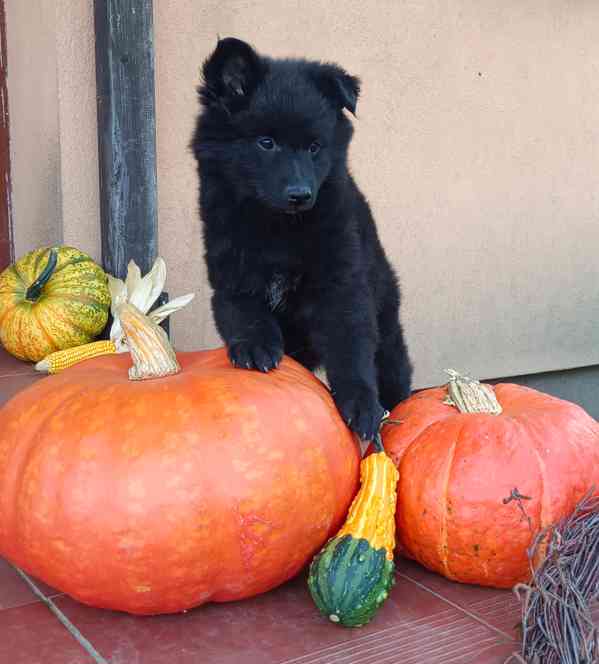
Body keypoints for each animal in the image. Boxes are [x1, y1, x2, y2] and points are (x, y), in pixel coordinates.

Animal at [192, 36, 412, 440]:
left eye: (314, 147)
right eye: (266, 142)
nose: (300, 194)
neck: (279, 227)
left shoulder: (342, 284)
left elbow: (350, 346)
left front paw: (361, 405)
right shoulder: (232, 274)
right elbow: (244, 313)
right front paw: (256, 347)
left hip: (386, 321)